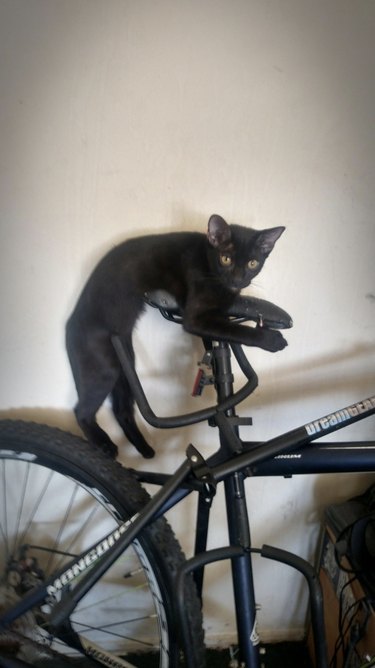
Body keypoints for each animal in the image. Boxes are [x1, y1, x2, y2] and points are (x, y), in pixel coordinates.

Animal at [66, 214, 286, 460]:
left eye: (252, 263)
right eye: (226, 258)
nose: (237, 280)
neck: (207, 260)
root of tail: (70, 322)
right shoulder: (195, 319)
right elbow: (238, 331)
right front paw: (272, 340)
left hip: (124, 362)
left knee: (121, 410)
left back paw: (145, 449)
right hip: (104, 368)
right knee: (81, 411)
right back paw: (105, 445)